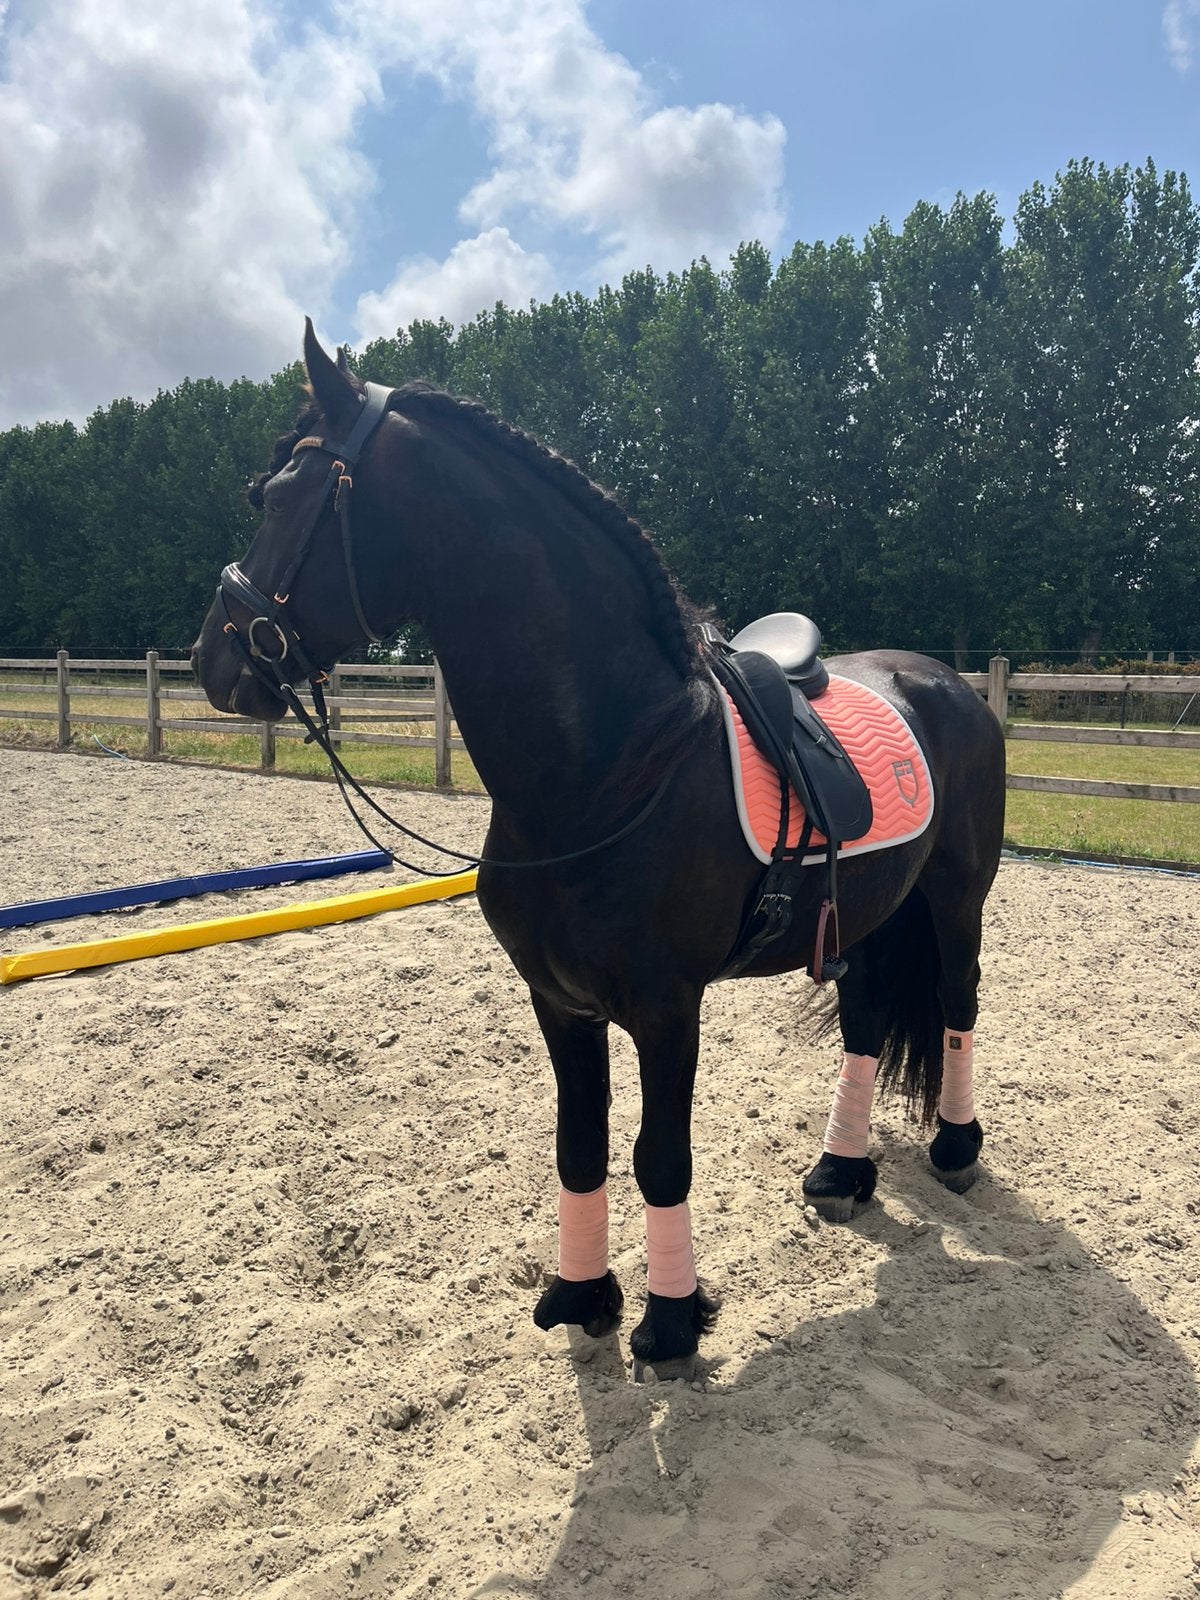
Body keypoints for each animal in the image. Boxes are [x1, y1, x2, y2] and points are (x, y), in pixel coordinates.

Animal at [192, 322, 1006, 1374]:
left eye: (282, 496)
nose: (213, 658)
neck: (611, 764)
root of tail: (945, 682)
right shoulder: (558, 1001)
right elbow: (577, 1145)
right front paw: (582, 1295)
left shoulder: (666, 1010)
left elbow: (661, 1156)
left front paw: (671, 1318)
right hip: (867, 912)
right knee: (866, 1023)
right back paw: (841, 1169)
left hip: (953, 897)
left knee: (957, 1004)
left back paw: (955, 1150)